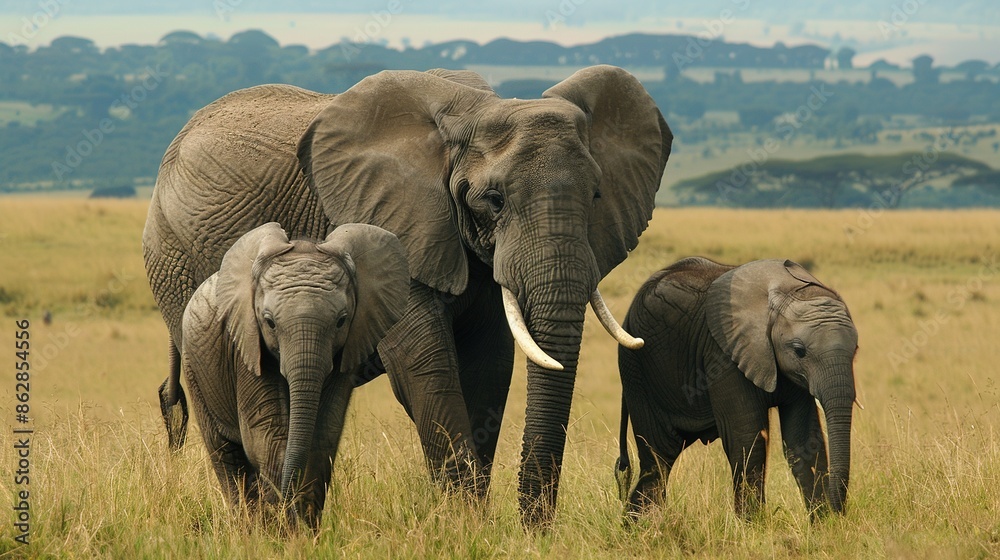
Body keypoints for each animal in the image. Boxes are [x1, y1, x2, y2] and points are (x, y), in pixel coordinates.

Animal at [178, 222, 409, 529]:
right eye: (269, 322)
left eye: (341, 321)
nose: (287, 506)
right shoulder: (247, 348)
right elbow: (267, 435)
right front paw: (282, 530)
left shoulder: (345, 352)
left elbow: (322, 436)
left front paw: (304, 530)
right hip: (194, 366)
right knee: (225, 455)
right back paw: (247, 528)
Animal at [615, 257, 858, 520]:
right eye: (799, 350)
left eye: (855, 350)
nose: (839, 512)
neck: (787, 290)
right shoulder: (724, 355)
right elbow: (748, 441)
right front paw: (754, 526)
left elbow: (804, 441)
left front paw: (825, 524)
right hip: (637, 370)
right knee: (658, 457)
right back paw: (645, 526)